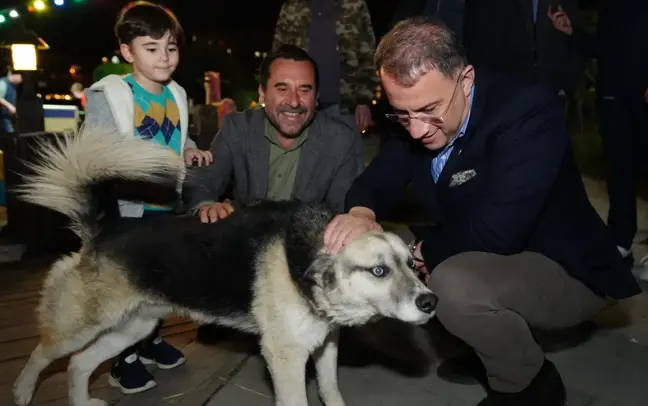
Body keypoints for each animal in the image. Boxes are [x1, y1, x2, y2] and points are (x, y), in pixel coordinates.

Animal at [11, 127, 436, 406]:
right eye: (379, 271)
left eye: (410, 262)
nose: (430, 302)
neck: (306, 255)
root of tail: (107, 228)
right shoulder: (285, 357)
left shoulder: (325, 346)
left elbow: (331, 391)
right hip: (80, 326)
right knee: (43, 354)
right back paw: (21, 390)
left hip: (134, 326)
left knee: (78, 364)